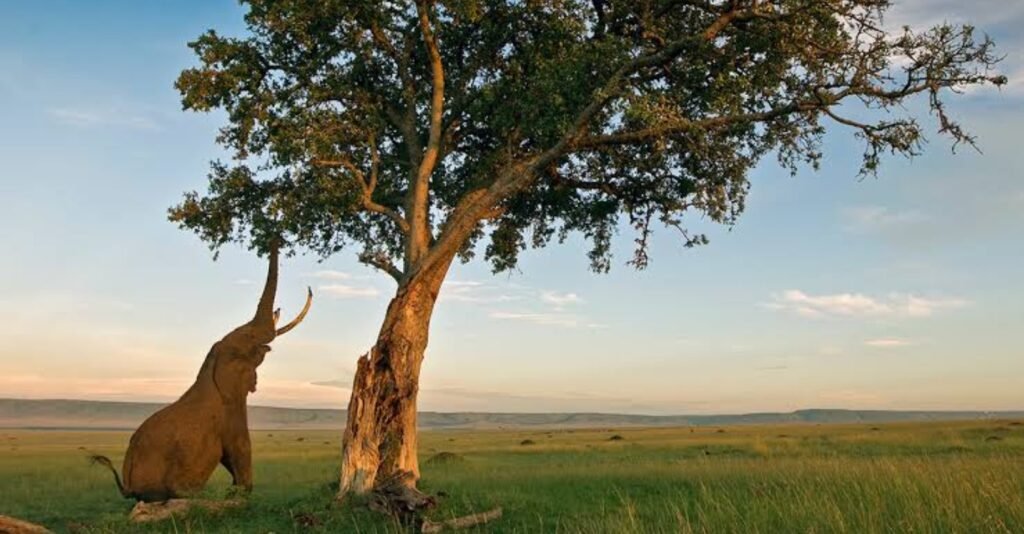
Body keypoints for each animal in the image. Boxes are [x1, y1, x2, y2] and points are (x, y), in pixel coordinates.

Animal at [91, 248, 312, 502]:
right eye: (249, 340)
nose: (309, 288)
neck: (211, 366)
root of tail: (128, 486)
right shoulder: (231, 409)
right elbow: (240, 450)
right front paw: (238, 493)